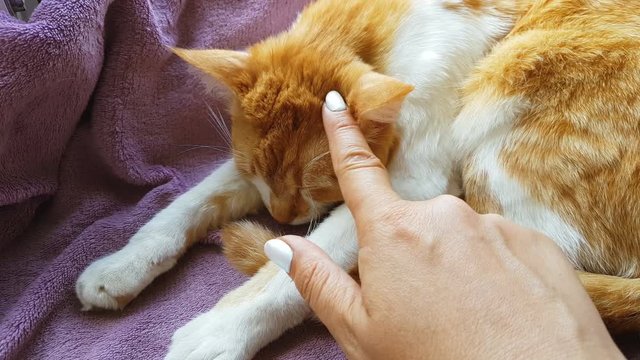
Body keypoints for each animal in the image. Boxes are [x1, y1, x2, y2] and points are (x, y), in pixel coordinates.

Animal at [76, 0, 640, 358]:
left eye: (314, 186)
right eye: (257, 171)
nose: (280, 216)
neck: (377, 33)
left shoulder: (413, 187)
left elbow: (298, 264)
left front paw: (220, 331)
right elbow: (192, 201)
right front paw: (122, 264)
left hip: (501, 118)